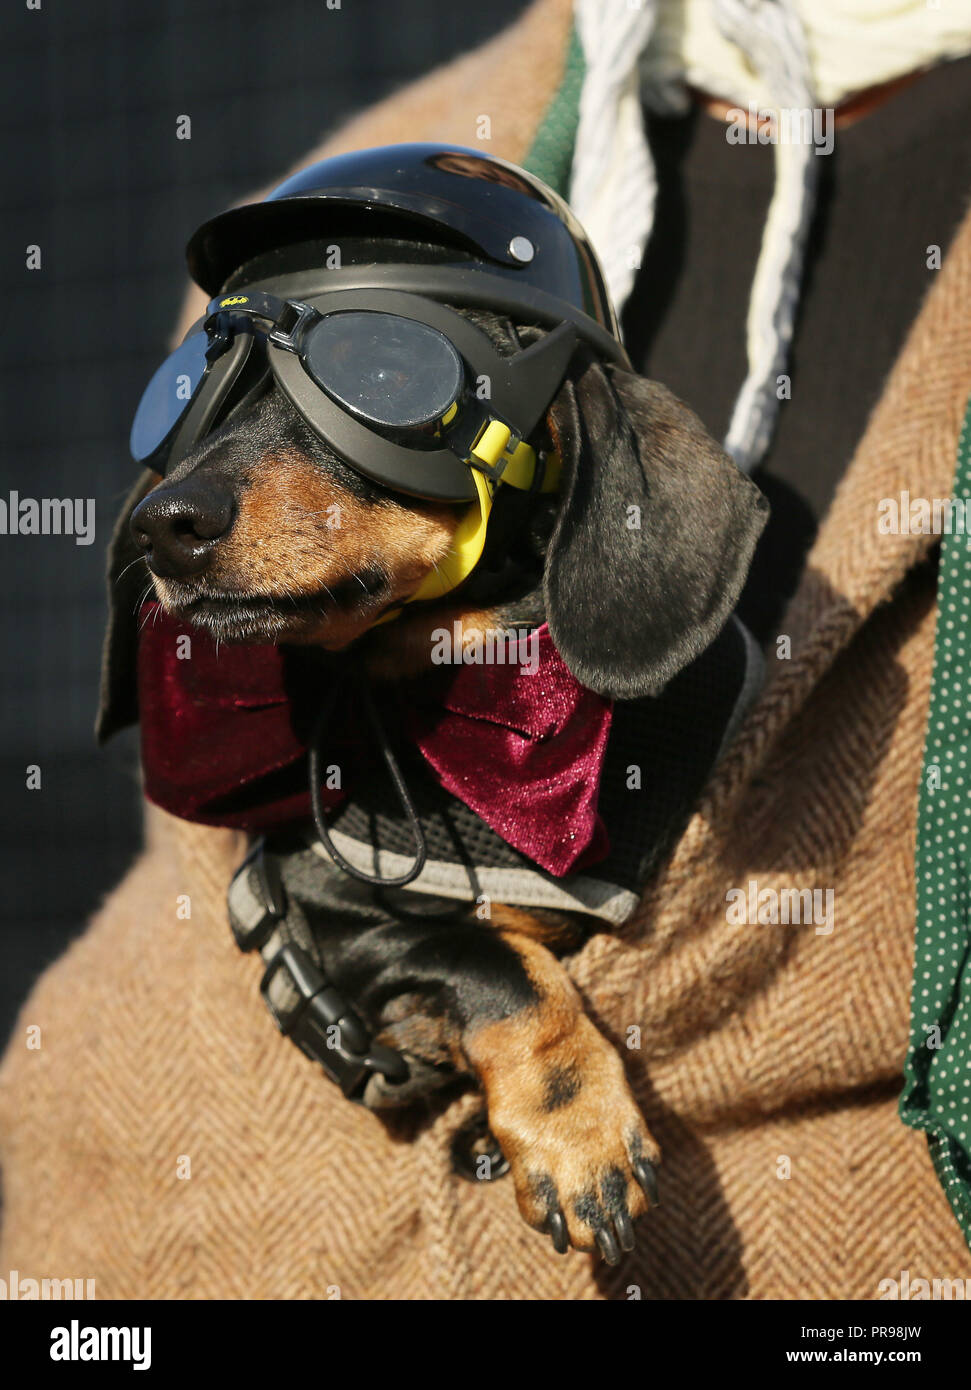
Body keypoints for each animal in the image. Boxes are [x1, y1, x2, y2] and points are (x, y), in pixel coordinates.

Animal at [111, 298, 766, 1267]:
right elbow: (497, 961)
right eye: (199, 399)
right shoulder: (328, 914)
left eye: (385, 374)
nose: (164, 525)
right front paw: (578, 1133)